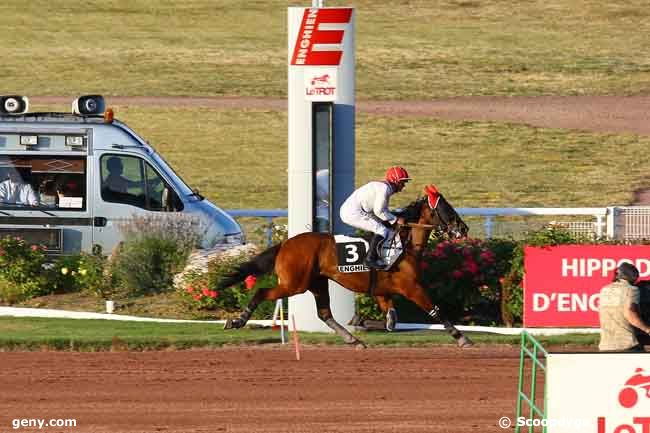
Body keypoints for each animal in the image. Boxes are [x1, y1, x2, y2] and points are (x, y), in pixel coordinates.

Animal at [221, 184, 470, 346]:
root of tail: (285, 244)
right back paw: (238, 320)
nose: (463, 229)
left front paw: (360, 322)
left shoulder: (383, 292)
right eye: (447, 208)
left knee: (325, 314)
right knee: (262, 292)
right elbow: (436, 310)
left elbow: (390, 321)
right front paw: (462, 338)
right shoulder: (411, 287)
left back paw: (353, 339)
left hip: (317, 283)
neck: (404, 244)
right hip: (295, 283)